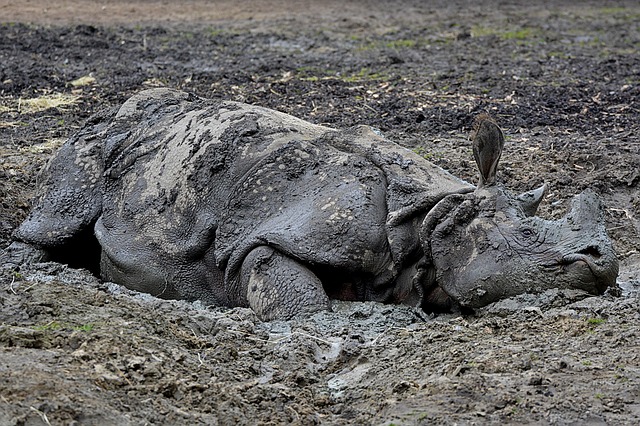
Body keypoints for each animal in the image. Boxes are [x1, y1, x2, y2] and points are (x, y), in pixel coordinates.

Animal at [4, 88, 619, 320]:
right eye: (529, 236)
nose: (605, 263)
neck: (432, 219)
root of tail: (123, 106)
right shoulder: (283, 233)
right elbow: (290, 288)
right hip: (91, 144)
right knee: (61, 216)